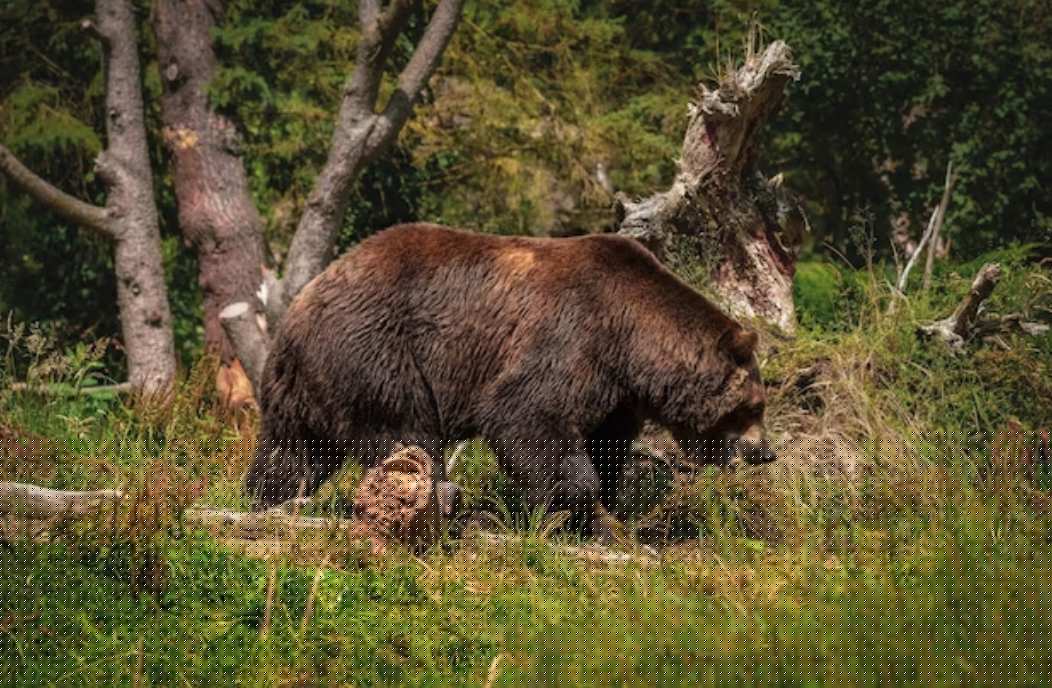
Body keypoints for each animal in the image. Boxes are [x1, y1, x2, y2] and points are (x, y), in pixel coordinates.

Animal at [246, 223, 775, 532]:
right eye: (754, 406)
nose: (765, 452)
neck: (632, 339)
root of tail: (298, 306)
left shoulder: (616, 393)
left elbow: (606, 444)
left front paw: (603, 511)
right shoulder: (571, 335)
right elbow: (526, 416)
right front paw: (567, 506)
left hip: (308, 384)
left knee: (292, 452)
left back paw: (264, 499)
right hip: (379, 352)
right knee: (406, 434)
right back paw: (444, 499)